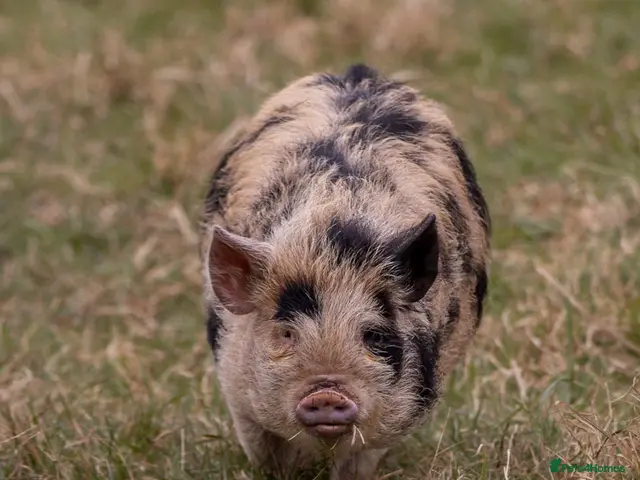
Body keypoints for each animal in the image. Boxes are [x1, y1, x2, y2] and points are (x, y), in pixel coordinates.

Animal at [200, 64, 491, 479]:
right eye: (285, 333)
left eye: (374, 336)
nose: (326, 392)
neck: (329, 242)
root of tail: (359, 72)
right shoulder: (237, 390)